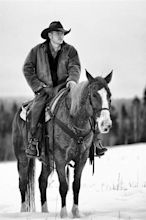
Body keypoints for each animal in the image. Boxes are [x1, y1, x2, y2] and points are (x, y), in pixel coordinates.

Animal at [12, 69, 113, 217]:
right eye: (94, 95)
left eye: (109, 95)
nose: (106, 125)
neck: (74, 121)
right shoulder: (60, 159)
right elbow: (64, 186)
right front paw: (64, 213)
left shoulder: (81, 159)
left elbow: (76, 185)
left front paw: (76, 212)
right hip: (23, 158)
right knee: (23, 183)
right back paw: (23, 211)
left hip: (47, 160)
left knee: (42, 181)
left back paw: (45, 211)